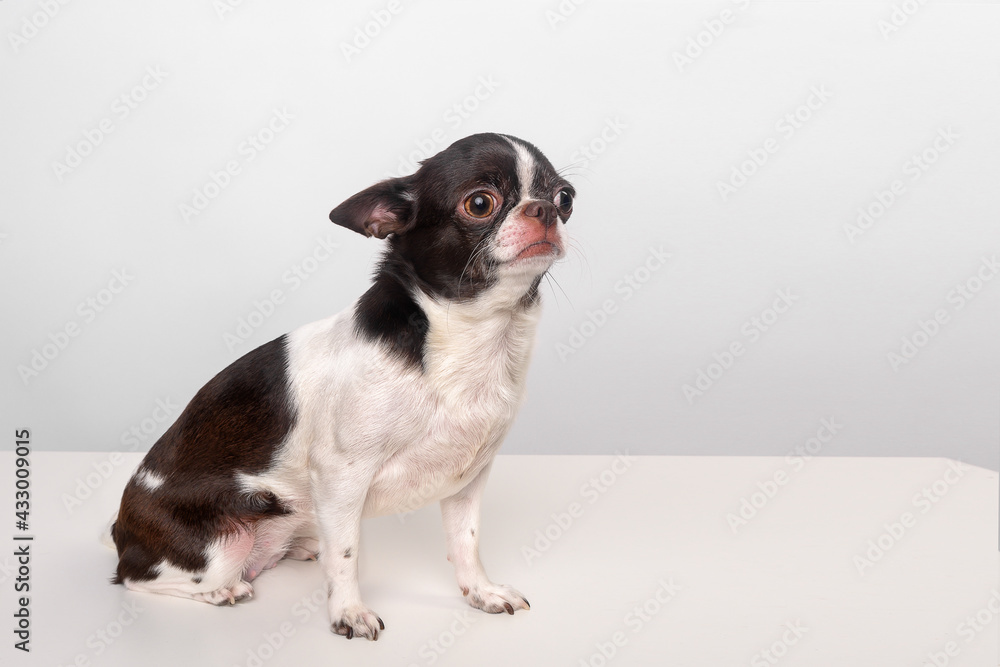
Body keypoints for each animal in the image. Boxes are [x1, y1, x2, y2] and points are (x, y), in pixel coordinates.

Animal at [105, 132, 576, 640]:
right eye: (480, 203)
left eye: (565, 198)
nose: (543, 210)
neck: (471, 337)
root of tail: (119, 530)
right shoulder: (342, 477)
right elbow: (346, 554)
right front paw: (348, 612)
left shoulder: (468, 480)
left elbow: (465, 541)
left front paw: (481, 592)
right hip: (221, 546)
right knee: (137, 578)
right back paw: (221, 590)